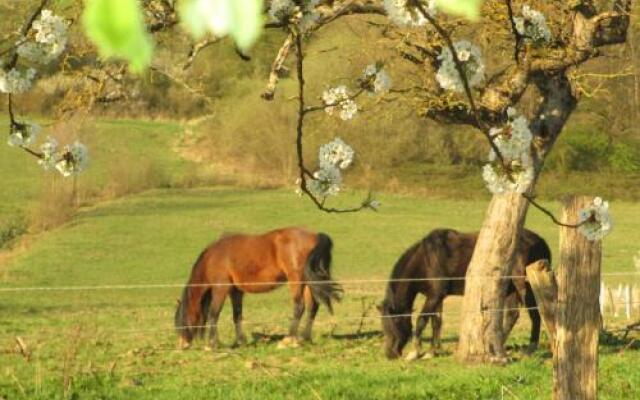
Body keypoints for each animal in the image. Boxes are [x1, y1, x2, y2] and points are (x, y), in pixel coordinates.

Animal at [172, 228, 342, 350]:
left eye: (181, 321)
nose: (182, 345)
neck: (214, 257)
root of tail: (315, 236)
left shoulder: (221, 289)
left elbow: (214, 314)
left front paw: (211, 344)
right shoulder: (236, 292)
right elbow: (237, 316)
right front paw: (240, 341)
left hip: (296, 280)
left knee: (299, 306)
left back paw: (288, 340)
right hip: (307, 282)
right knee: (313, 307)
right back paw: (305, 338)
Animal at [380, 228, 552, 360]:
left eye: (395, 321)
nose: (390, 353)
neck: (426, 259)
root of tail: (540, 241)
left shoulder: (434, 296)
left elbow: (422, 320)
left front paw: (415, 353)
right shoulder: (437, 296)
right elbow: (436, 322)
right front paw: (431, 352)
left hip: (524, 286)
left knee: (535, 315)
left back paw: (530, 348)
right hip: (511, 289)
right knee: (512, 315)